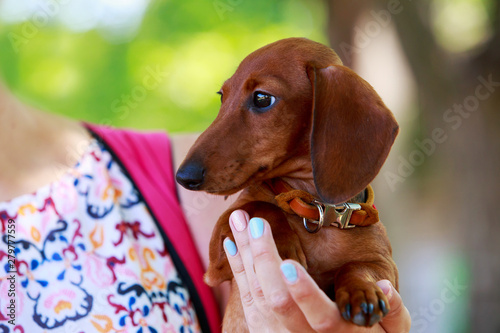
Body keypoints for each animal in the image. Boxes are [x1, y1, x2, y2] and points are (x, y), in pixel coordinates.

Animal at [176, 38, 398, 330]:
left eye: (262, 98)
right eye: (222, 96)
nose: (183, 176)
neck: (316, 208)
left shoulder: (385, 267)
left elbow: (357, 267)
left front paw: (361, 291)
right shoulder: (215, 264)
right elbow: (262, 206)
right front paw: (283, 250)